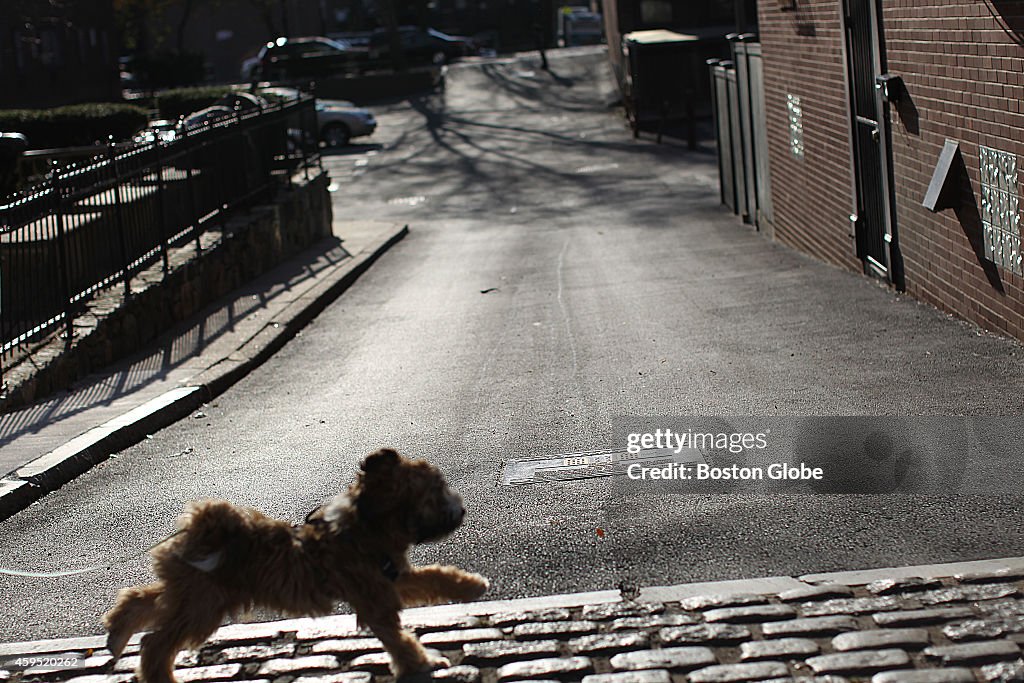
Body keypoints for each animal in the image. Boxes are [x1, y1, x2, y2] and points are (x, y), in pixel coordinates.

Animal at [105, 448, 489, 683]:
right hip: (203, 604)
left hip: (192, 592)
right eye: (437, 491)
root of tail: (203, 526)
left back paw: (117, 633)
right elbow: (396, 637)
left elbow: (433, 577)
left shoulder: (391, 578)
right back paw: (155, 671)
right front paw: (421, 663)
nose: (461, 510)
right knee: (156, 641)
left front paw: (470, 584)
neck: (363, 525)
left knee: (143, 600)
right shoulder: (375, 596)